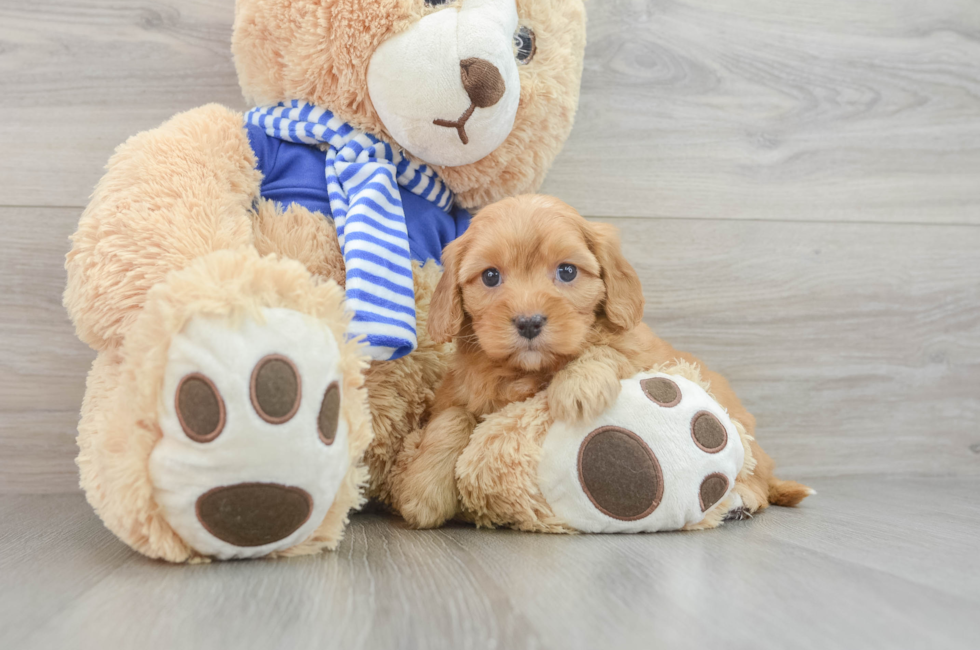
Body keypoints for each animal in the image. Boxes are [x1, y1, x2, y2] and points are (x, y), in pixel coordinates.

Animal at [390, 194, 788, 528]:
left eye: (567, 271)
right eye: (490, 276)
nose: (529, 322)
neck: (528, 372)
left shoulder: (636, 354)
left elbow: (604, 350)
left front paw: (577, 387)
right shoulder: (455, 391)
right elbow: (451, 419)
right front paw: (424, 491)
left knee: (758, 477)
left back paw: (740, 500)